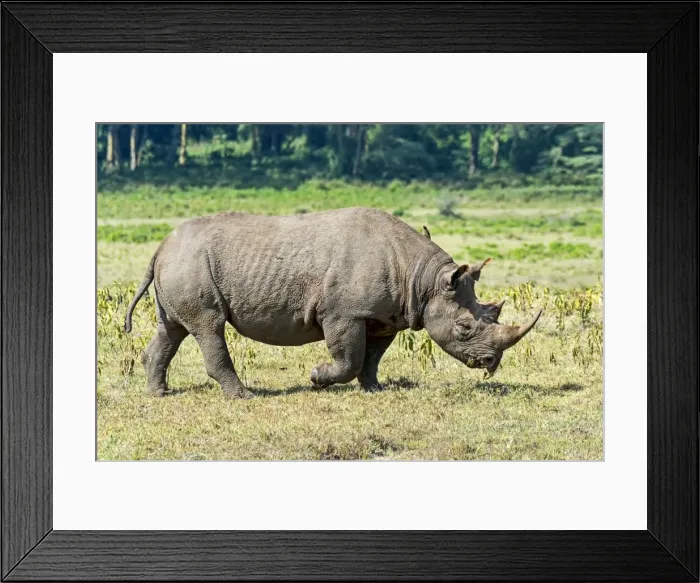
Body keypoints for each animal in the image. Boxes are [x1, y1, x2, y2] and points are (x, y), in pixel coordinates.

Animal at [125, 207, 541, 398]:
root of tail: (161, 245)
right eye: (465, 328)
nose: (491, 364)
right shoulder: (343, 313)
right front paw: (316, 377)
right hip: (190, 262)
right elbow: (349, 357)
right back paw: (243, 396)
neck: (422, 279)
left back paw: (159, 394)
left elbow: (371, 358)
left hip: (182, 263)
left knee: (173, 328)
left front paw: (374, 389)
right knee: (208, 326)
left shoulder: (385, 316)